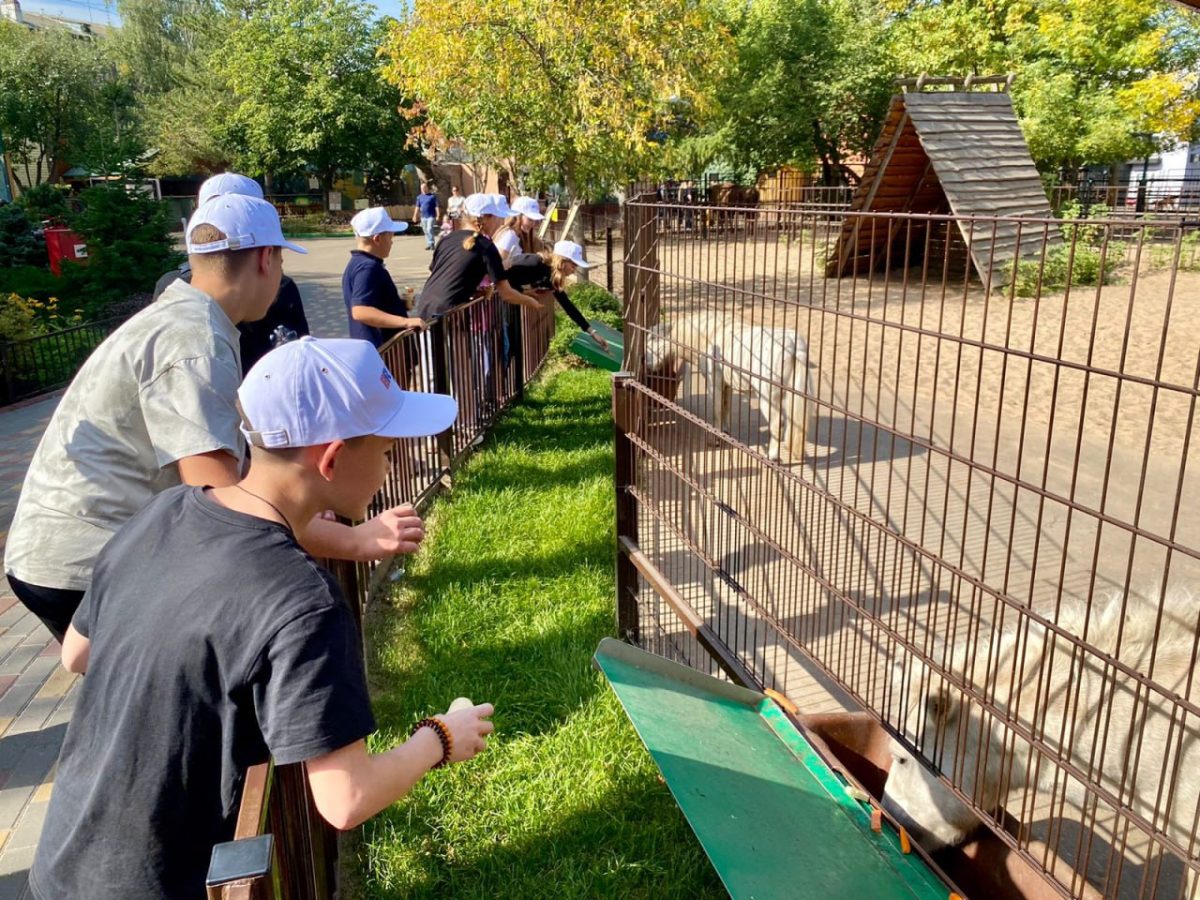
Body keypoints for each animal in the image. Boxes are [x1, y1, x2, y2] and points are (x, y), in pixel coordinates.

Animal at [648, 312, 816, 465]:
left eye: (651, 341)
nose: (647, 365)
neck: (708, 336)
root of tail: (793, 347)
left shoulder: (714, 381)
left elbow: (717, 410)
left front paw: (715, 439)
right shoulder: (726, 383)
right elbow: (725, 407)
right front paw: (725, 431)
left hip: (768, 396)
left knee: (777, 423)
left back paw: (772, 457)